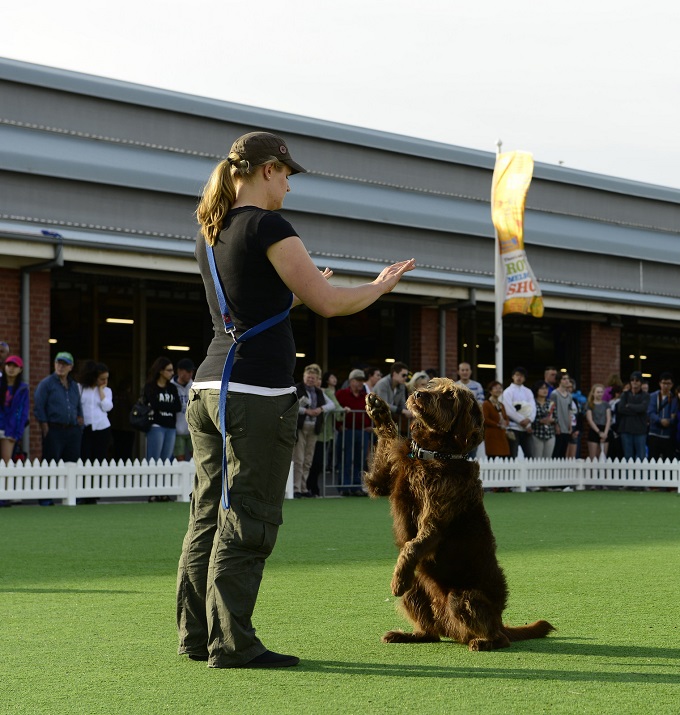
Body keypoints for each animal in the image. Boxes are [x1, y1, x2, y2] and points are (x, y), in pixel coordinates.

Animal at [364, 378, 556, 652]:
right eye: (431, 385)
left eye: (449, 396)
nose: (418, 394)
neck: (433, 455)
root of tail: (500, 621)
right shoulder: (381, 481)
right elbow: (387, 443)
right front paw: (379, 410)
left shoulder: (434, 520)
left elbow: (412, 546)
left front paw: (398, 577)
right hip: (418, 589)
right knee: (430, 632)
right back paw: (409, 635)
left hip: (463, 596)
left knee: (501, 639)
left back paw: (484, 641)